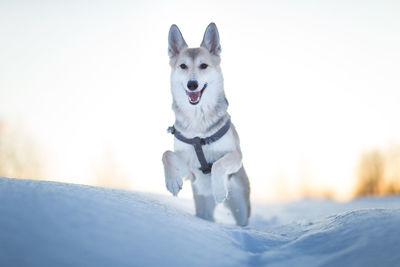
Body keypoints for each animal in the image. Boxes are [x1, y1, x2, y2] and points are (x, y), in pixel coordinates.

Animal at [162, 22, 250, 226]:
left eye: (203, 66)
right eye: (183, 66)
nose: (192, 84)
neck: (198, 123)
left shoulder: (235, 156)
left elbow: (218, 164)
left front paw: (218, 189)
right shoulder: (190, 170)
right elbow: (167, 154)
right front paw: (172, 182)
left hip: (241, 206)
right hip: (203, 207)